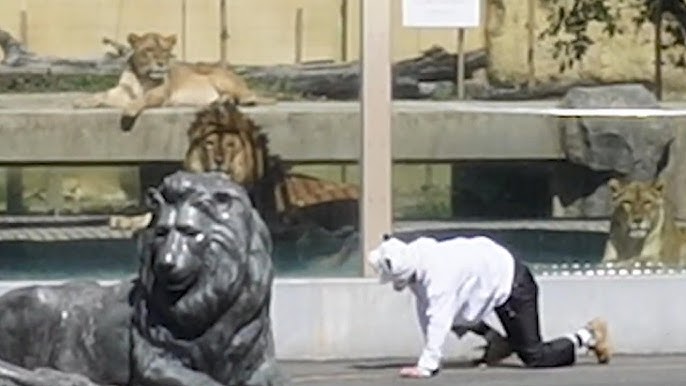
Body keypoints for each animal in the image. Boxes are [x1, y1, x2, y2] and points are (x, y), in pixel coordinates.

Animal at [0, 172, 288, 386]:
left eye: (189, 232)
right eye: (162, 232)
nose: (166, 263)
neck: (206, 302)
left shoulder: (258, 360)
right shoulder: (154, 361)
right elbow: (203, 381)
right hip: (39, 300)